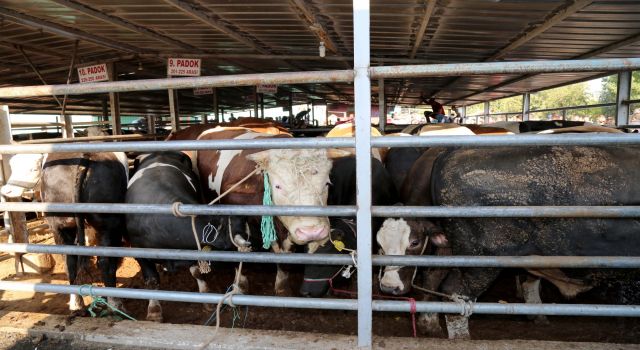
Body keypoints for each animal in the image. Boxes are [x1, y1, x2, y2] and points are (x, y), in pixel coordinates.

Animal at [124, 152, 242, 322]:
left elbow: (197, 272)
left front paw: (206, 297)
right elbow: (152, 280)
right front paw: (154, 311)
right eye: (231, 248)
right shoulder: (139, 251)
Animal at [378, 146, 640, 340]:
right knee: (455, 293)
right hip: (482, 261)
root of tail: (449, 153)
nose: (388, 288)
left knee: (435, 276)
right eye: (379, 245)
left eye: (414, 242)